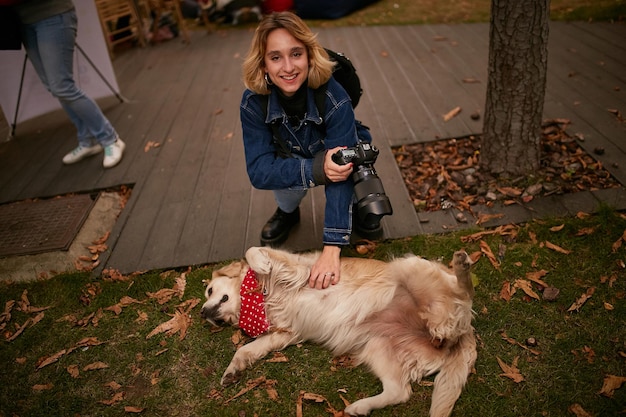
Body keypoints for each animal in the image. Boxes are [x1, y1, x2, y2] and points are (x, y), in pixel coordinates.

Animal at [202, 245, 476, 414]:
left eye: (209, 290)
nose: (203, 313)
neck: (257, 299)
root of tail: (463, 332)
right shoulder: (284, 333)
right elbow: (246, 350)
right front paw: (232, 371)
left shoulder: (300, 269)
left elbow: (253, 251)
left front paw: (260, 263)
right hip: (379, 346)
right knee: (400, 392)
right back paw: (359, 408)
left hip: (411, 266)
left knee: (464, 292)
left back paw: (462, 266)